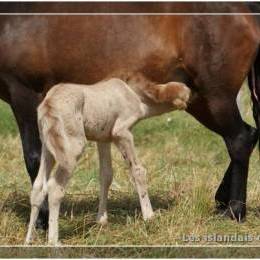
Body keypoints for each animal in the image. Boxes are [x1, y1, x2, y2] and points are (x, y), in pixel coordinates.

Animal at [25, 78, 190, 245]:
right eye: (187, 94)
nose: (189, 103)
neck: (134, 93)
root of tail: (48, 104)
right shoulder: (121, 132)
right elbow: (138, 170)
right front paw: (149, 217)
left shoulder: (103, 138)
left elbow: (106, 175)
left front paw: (102, 220)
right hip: (72, 148)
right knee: (55, 187)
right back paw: (53, 241)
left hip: (49, 146)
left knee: (39, 186)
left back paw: (29, 240)